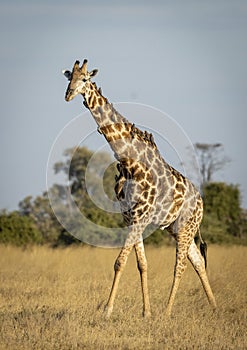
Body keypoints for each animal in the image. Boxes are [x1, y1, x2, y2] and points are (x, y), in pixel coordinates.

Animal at [62, 59, 216, 318]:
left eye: (84, 79)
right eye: (68, 78)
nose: (69, 94)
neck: (130, 164)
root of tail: (201, 201)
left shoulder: (141, 217)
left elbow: (120, 262)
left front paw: (107, 310)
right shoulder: (130, 218)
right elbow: (141, 264)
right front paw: (146, 312)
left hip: (187, 226)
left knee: (181, 266)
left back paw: (167, 311)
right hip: (176, 228)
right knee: (198, 261)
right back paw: (215, 307)